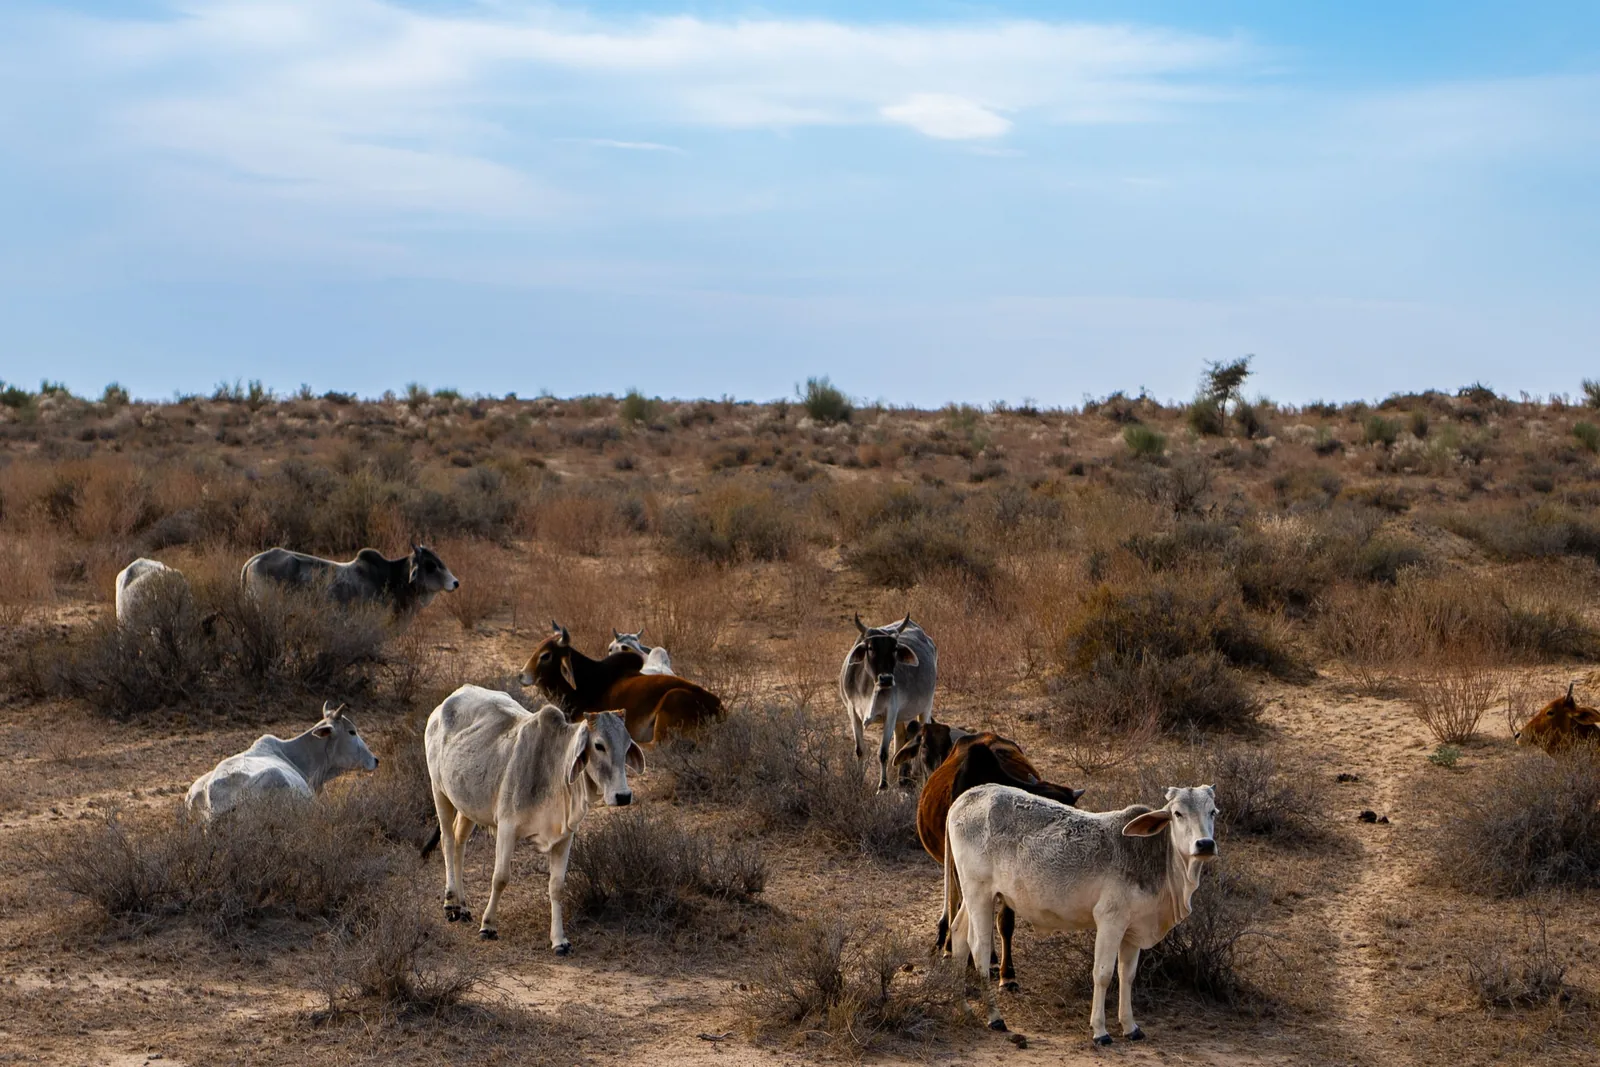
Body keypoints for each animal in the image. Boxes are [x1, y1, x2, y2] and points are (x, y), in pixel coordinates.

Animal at [420, 684, 643, 952]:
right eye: (599, 745)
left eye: (627, 745)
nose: (623, 796)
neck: (555, 769)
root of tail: (452, 697)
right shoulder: (507, 828)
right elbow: (500, 877)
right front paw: (488, 926)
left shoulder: (564, 837)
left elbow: (557, 887)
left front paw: (559, 940)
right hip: (439, 791)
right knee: (447, 840)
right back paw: (451, 903)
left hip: (468, 804)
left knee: (459, 842)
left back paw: (463, 907)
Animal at [839, 613, 937, 791]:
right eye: (871, 648)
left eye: (895, 648)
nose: (886, 679)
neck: (869, 689)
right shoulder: (853, 711)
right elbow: (859, 749)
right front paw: (859, 781)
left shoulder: (890, 712)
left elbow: (883, 753)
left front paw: (882, 786)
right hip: (900, 716)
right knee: (901, 737)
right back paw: (901, 778)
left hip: (926, 707)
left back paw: (918, 776)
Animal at [945, 785, 1219, 1043]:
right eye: (1178, 814)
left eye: (1213, 812)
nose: (1205, 844)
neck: (1155, 857)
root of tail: (968, 796)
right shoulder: (1110, 920)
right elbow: (1103, 974)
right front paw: (1100, 1031)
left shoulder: (1132, 930)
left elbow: (1127, 975)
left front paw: (1130, 1027)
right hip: (979, 892)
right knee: (978, 948)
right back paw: (995, 1017)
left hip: (975, 895)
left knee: (958, 936)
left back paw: (964, 1007)